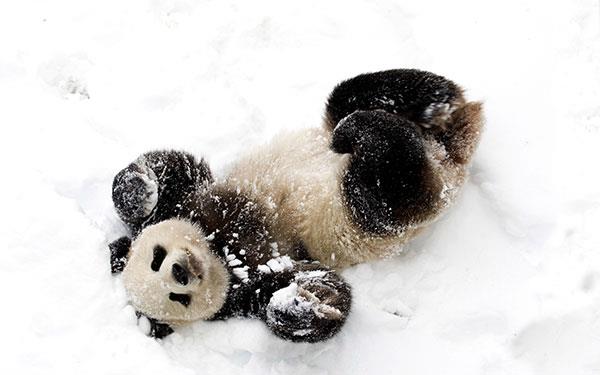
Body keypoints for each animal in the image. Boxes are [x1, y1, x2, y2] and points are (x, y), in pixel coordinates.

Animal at [108, 70, 482, 344]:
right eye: (178, 298)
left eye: (156, 258)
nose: (181, 272)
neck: (220, 249)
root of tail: (448, 155)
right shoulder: (248, 285)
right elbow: (321, 287)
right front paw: (298, 305)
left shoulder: (193, 202)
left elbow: (174, 168)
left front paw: (138, 189)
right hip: (371, 212)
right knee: (389, 186)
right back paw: (375, 131)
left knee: (355, 95)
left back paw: (426, 106)